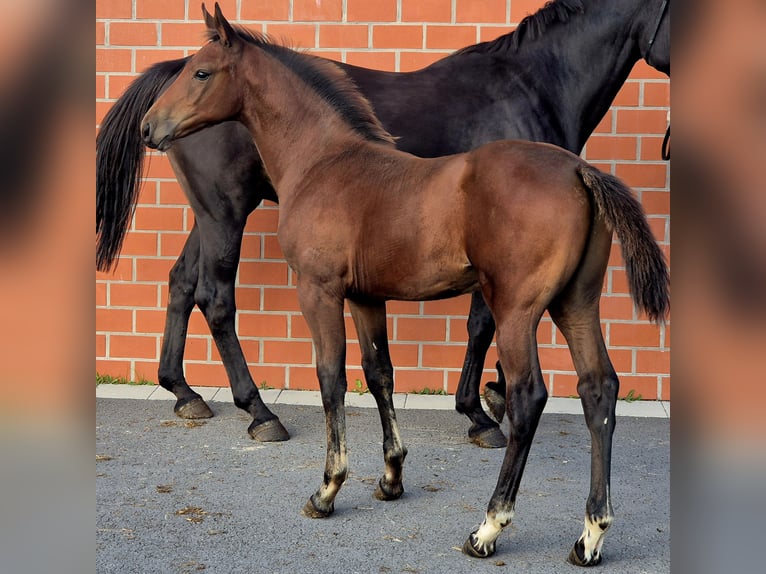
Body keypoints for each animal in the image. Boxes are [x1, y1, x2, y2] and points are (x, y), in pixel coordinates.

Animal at [141, 5, 669, 566]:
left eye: (201, 72)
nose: (149, 126)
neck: (324, 160)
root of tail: (578, 169)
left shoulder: (319, 290)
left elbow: (332, 378)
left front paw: (327, 488)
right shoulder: (367, 297)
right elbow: (380, 374)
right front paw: (391, 477)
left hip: (517, 308)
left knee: (529, 396)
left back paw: (488, 527)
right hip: (576, 303)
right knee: (599, 390)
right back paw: (590, 535)